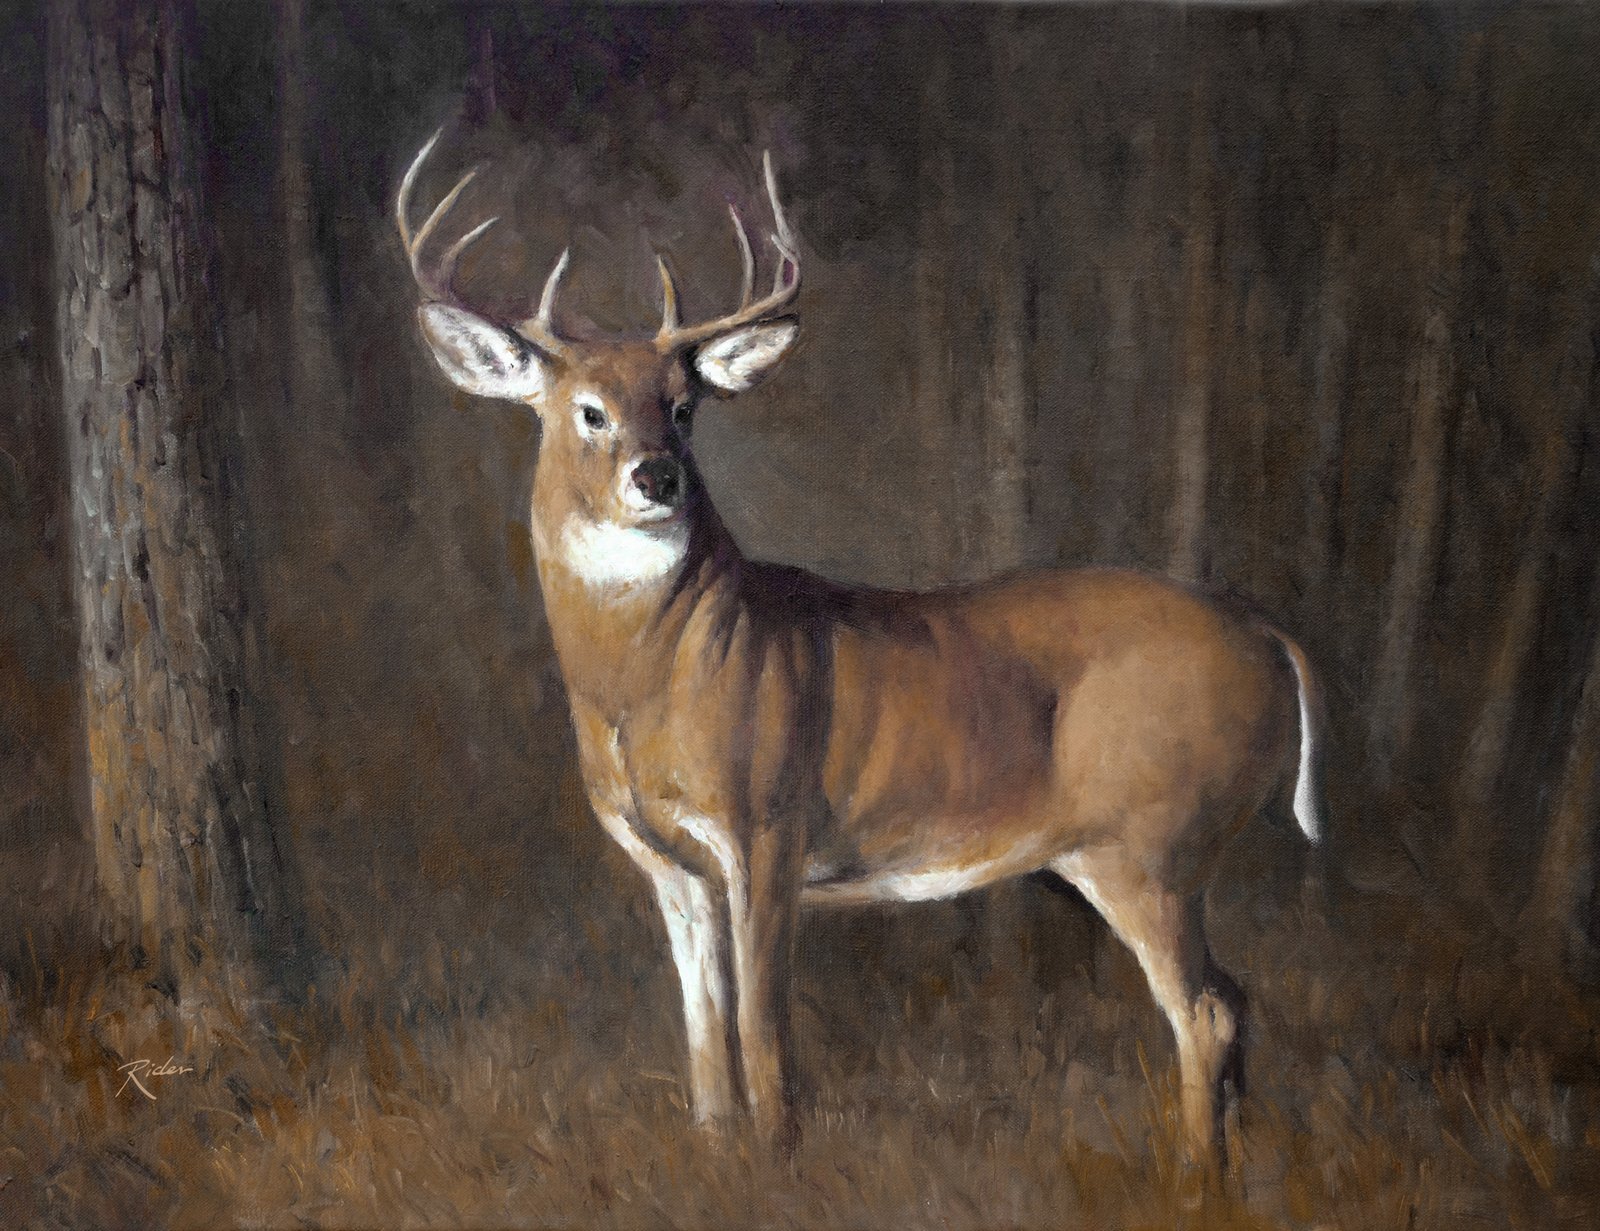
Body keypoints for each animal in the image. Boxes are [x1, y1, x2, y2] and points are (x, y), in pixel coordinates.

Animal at [396, 130, 1325, 1166]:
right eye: (587, 408)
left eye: (683, 405)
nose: (658, 475)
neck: (648, 683)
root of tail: (1271, 637)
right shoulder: (669, 862)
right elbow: (703, 1033)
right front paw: (715, 1151)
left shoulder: (768, 823)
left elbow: (763, 1028)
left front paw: (778, 1158)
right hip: (1131, 851)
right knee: (1233, 998)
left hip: (1155, 838)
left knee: (1203, 1011)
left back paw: (1194, 1174)